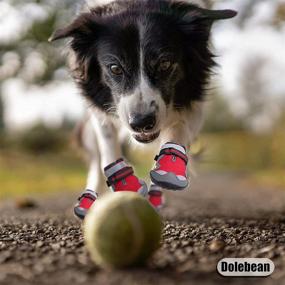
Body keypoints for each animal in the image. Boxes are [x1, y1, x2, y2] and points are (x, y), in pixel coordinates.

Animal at [49, 0, 235, 220]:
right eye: (115, 68)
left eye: (164, 63)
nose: (141, 123)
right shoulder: (99, 110)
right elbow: (108, 148)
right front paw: (124, 184)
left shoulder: (194, 101)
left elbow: (178, 129)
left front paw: (169, 169)